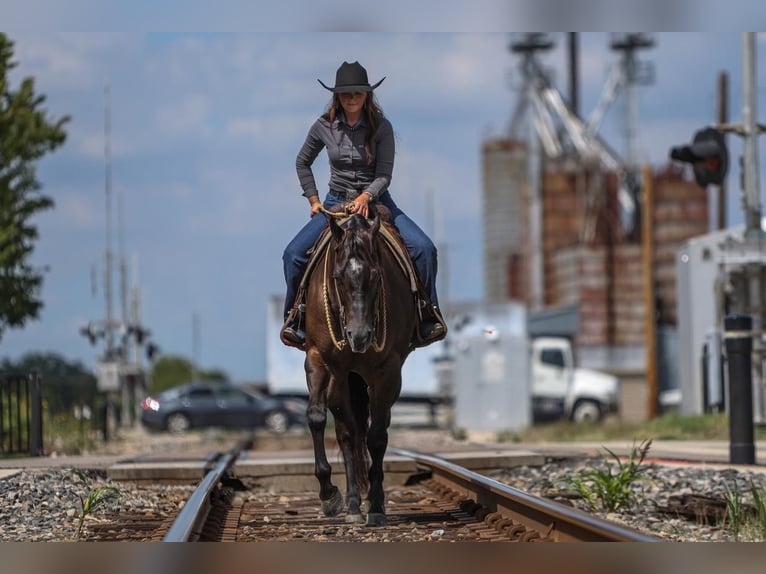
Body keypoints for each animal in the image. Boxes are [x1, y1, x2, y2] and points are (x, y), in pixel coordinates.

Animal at [304, 207, 416, 528]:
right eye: (338, 277)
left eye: (377, 276)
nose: (360, 336)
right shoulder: (323, 361)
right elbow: (328, 423)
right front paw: (333, 497)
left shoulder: (387, 370)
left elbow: (376, 437)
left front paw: (376, 506)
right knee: (349, 433)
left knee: (376, 427)